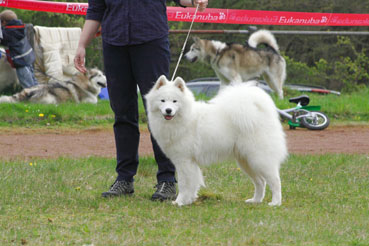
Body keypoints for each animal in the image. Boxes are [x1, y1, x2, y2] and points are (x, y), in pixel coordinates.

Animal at [144, 76, 288, 207]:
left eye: (175, 101)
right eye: (162, 101)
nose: (168, 110)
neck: (184, 119)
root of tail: (260, 111)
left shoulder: (184, 161)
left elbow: (185, 184)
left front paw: (179, 202)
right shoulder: (189, 163)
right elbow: (193, 183)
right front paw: (189, 200)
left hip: (259, 159)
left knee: (275, 181)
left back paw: (275, 202)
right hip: (246, 161)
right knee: (260, 182)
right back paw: (255, 200)